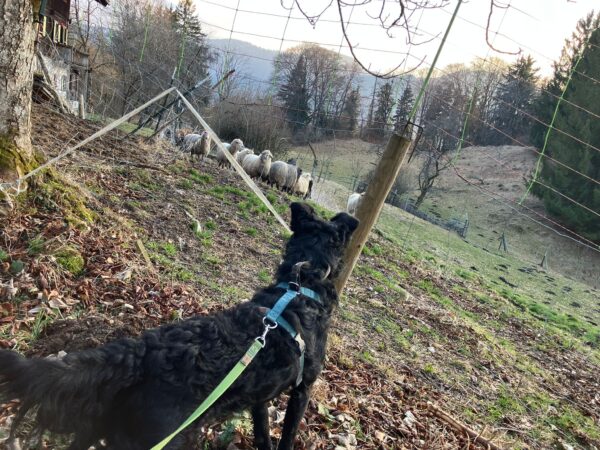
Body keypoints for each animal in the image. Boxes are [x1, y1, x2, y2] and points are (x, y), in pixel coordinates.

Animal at [0, 202, 359, 450]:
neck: (302, 282)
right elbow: (287, 435)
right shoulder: (303, 388)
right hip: (163, 439)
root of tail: (140, 353)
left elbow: (261, 433)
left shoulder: (261, 397)